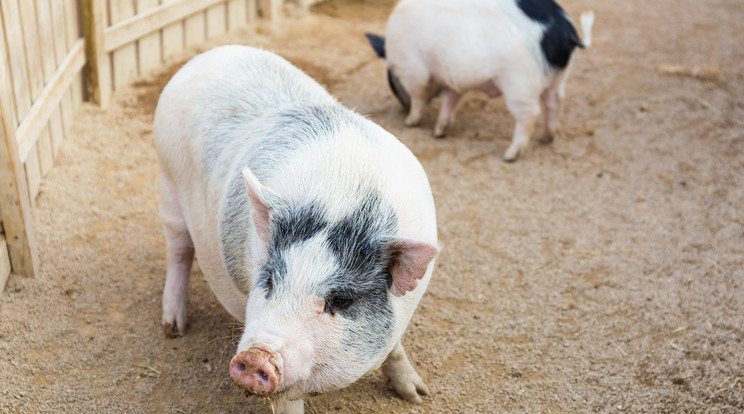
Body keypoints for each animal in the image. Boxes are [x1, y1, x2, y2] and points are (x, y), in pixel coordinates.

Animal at [153, 45, 438, 414]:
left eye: (341, 300)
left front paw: (417, 395)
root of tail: (212, 53)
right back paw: (173, 329)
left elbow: (396, 346)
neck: (342, 199)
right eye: (270, 281)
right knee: (179, 250)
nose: (256, 357)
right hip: (167, 181)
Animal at [364, 0, 592, 162]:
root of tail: (565, 31)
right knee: (556, 101)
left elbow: (419, 96)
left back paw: (509, 155)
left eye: (391, 78)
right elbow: (449, 100)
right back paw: (546, 138)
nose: (402, 109)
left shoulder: (414, 70)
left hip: (519, 82)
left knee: (531, 113)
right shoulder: (452, 79)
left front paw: (410, 122)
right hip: (558, 78)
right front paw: (438, 132)